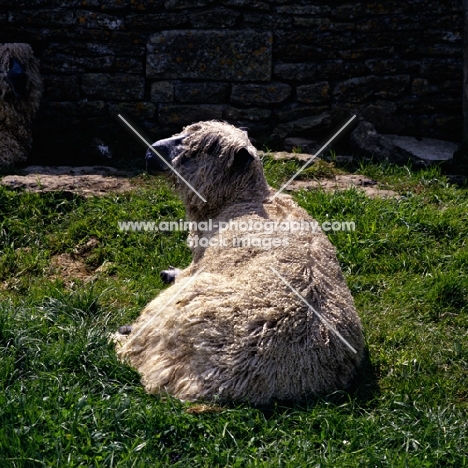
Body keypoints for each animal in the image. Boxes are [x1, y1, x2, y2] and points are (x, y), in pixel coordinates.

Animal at [117, 121, 366, 406]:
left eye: (198, 151)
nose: (150, 152)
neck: (245, 200)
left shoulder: (199, 262)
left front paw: (170, 273)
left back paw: (123, 332)